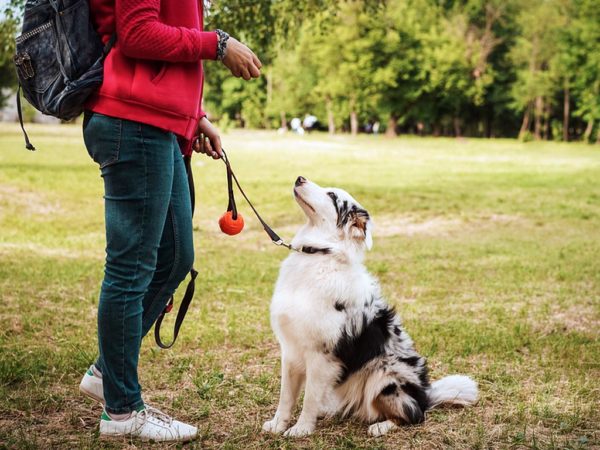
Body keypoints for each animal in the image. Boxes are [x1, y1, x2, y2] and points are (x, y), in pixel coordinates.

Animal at [262, 176, 478, 436]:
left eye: (332, 196)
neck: (320, 255)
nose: (299, 178)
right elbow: (286, 396)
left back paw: (381, 426)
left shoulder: (321, 356)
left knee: (414, 415)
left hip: (384, 375)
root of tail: (425, 395)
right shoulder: (291, 350)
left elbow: (310, 398)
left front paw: (301, 429)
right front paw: (277, 424)